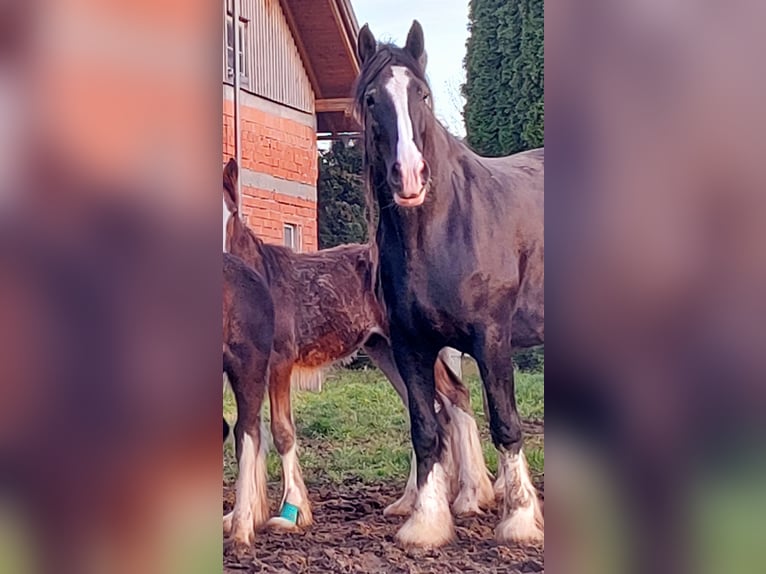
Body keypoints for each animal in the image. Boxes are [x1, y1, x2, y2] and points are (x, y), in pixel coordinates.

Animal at [225, 159, 496, 536]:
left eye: (227, 215)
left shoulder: (280, 360)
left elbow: (281, 431)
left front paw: (292, 512)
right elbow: (254, 431)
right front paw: (245, 515)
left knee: (455, 396)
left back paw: (471, 497)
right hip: (385, 350)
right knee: (431, 409)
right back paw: (411, 501)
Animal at [358, 22, 544, 552]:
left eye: (421, 94)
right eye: (372, 99)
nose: (409, 176)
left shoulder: (492, 339)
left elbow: (505, 422)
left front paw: (520, 519)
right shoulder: (410, 345)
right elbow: (426, 430)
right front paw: (427, 521)